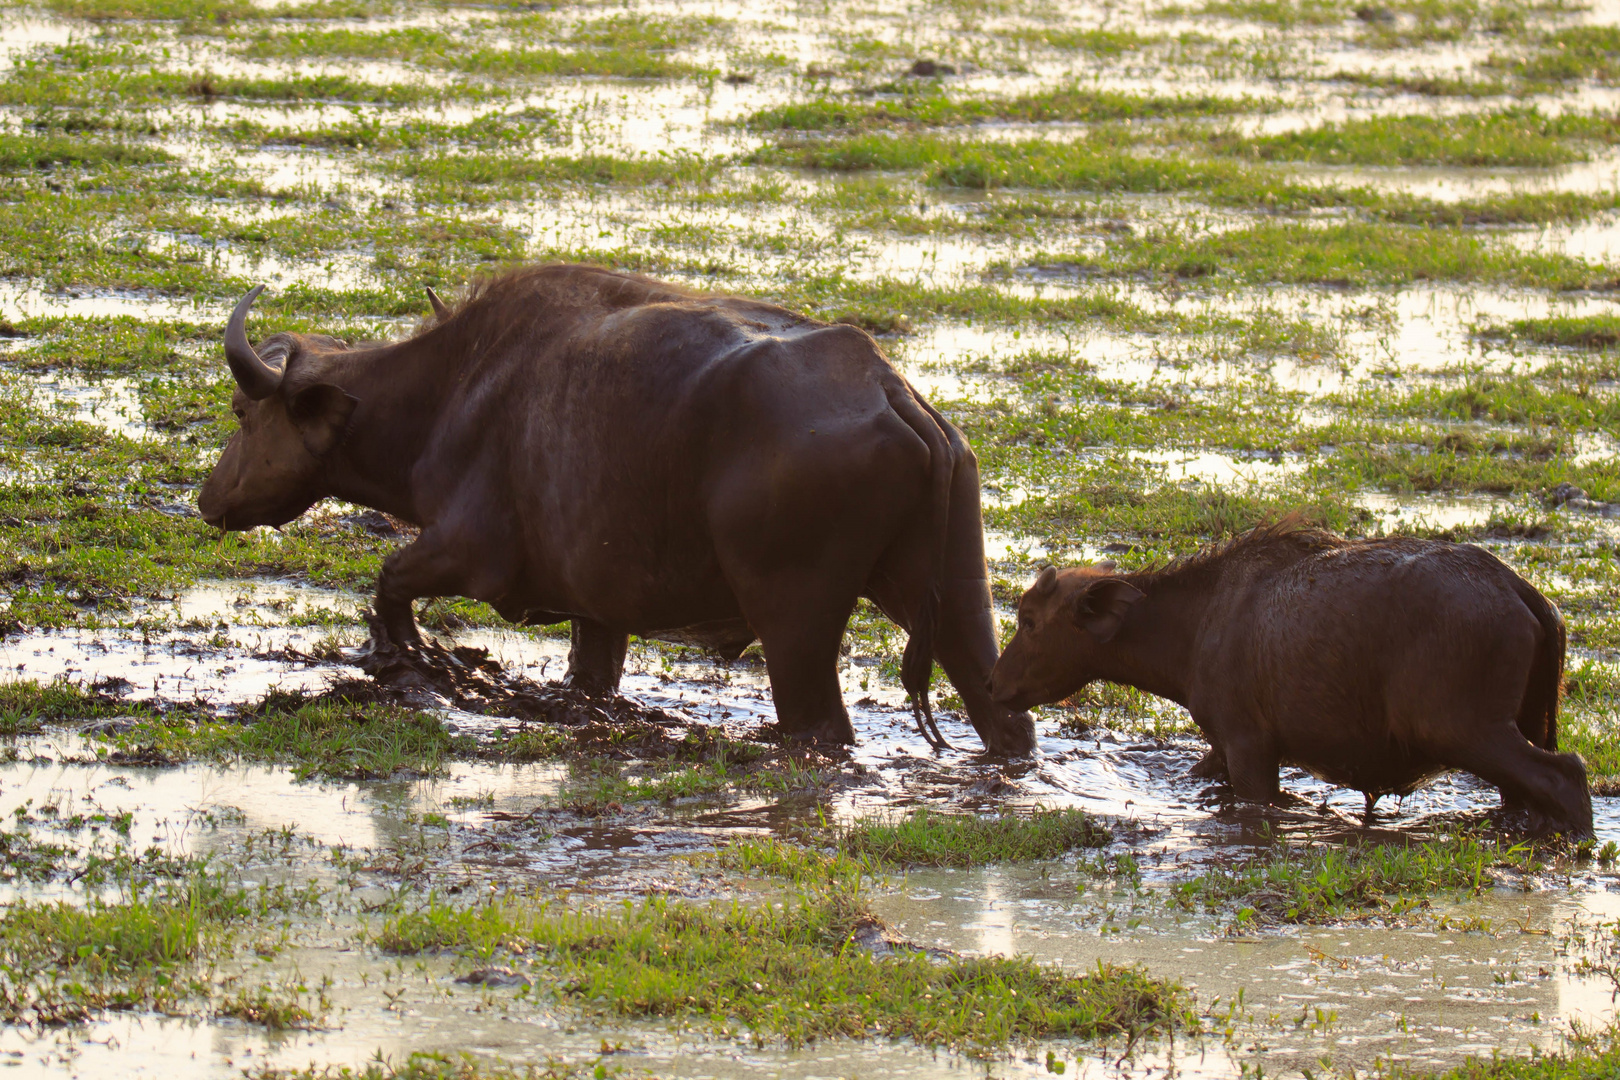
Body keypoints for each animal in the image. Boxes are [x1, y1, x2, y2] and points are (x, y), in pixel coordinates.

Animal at [199, 263, 1036, 751]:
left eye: (242, 413)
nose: (207, 498)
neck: (452, 390)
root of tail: (890, 391)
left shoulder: (469, 550)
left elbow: (390, 576)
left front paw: (406, 656)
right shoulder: (596, 612)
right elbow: (591, 675)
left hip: (795, 624)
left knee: (820, 725)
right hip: (955, 593)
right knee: (1001, 709)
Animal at [984, 524, 1594, 835]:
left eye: (1030, 620)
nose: (993, 684)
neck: (1196, 624)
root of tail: (1524, 594)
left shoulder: (1248, 745)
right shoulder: (1220, 749)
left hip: (1466, 729)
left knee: (1565, 773)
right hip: (1520, 725)